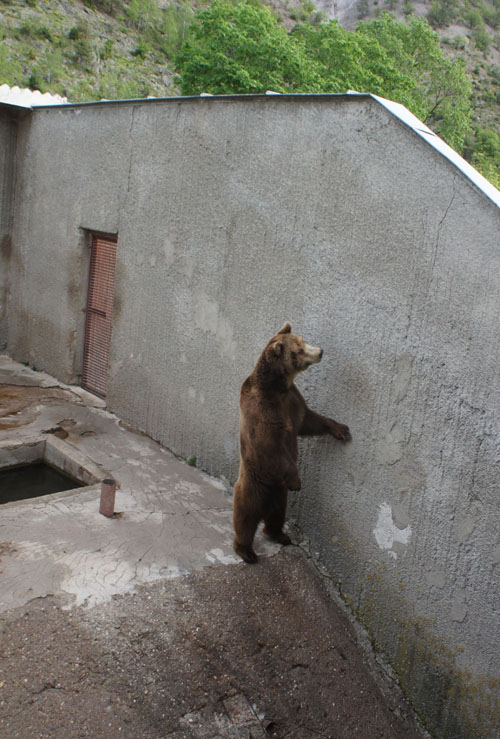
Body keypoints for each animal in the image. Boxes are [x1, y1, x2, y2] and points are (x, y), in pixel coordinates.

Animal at [231, 320, 352, 564]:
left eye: (303, 340)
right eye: (300, 349)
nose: (320, 351)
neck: (278, 386)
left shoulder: (292, 401)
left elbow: (309, 420)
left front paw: (341, 429)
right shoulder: (263, 412)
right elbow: (273, 447)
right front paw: (297, 480)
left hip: (280, 494)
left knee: (277, 515)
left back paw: (279, 534)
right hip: (254, 484)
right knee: (245, 517)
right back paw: (246, 551)